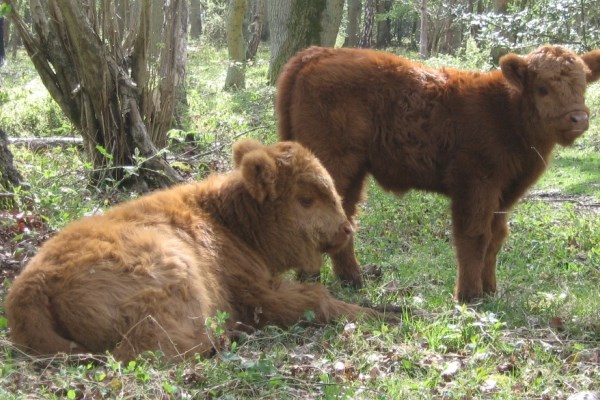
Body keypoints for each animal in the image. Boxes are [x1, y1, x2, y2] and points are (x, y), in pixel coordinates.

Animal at [5, 139, 380, 360]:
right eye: (306, 199)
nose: (346, 229)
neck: (227, 218)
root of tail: (32, 287)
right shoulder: (259, 294)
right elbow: (319, 299)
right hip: (174, 274)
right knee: (151, 350)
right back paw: (226, 339)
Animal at [276, 44, 600, 300]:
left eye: (583, 85)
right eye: (543, 88)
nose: (579, 118)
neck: (505, 111)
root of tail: (317, 53)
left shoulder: (505, 194)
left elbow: (496, 237)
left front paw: (491, 290)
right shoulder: (475, 184)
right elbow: (474, 235)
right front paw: (469, 295)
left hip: (352, 172)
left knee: (345, 216)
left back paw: (351, 280)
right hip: (333, 165)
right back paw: (313, 280)